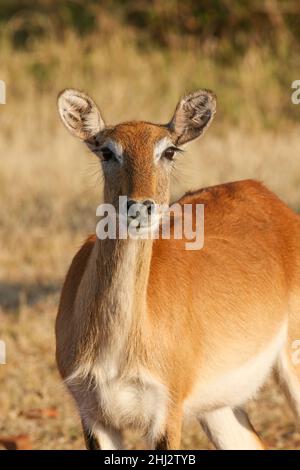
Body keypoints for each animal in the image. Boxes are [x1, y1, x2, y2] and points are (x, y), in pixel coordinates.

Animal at [56, 88, 300, 452]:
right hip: (218, 409)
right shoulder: (94, 415)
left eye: (169, 150)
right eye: (107, 150)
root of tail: (265, 194)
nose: (140, 206)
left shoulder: (166, 413)